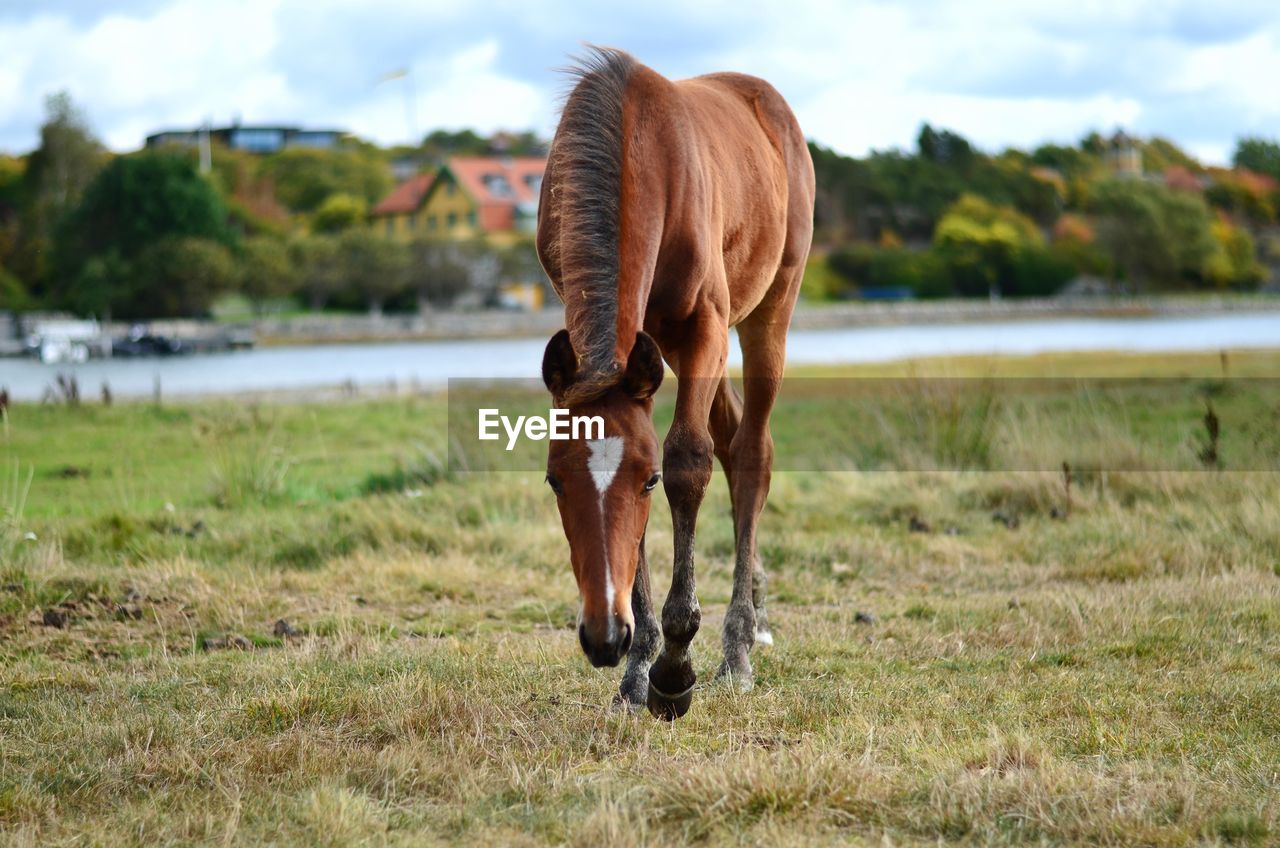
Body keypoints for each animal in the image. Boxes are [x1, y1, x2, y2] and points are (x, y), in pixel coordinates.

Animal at [535, 46, 814, 722]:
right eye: (555, 480)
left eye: (648, 481)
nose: (603, 637)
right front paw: (636, 670)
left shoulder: (704, 325)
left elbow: (689, 461)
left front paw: (673, 668)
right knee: (734, 436)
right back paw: (756, 609)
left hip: (766, 312)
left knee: (751, 451)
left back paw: (737, 649)